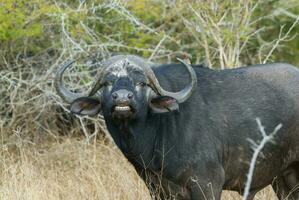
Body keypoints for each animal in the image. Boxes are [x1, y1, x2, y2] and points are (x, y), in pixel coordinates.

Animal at [55, 54, 299, 199]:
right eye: (107, 83)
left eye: (141, 83)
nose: (122, 98)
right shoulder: (158, 188)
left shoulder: (207, 184)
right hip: (283, 179)